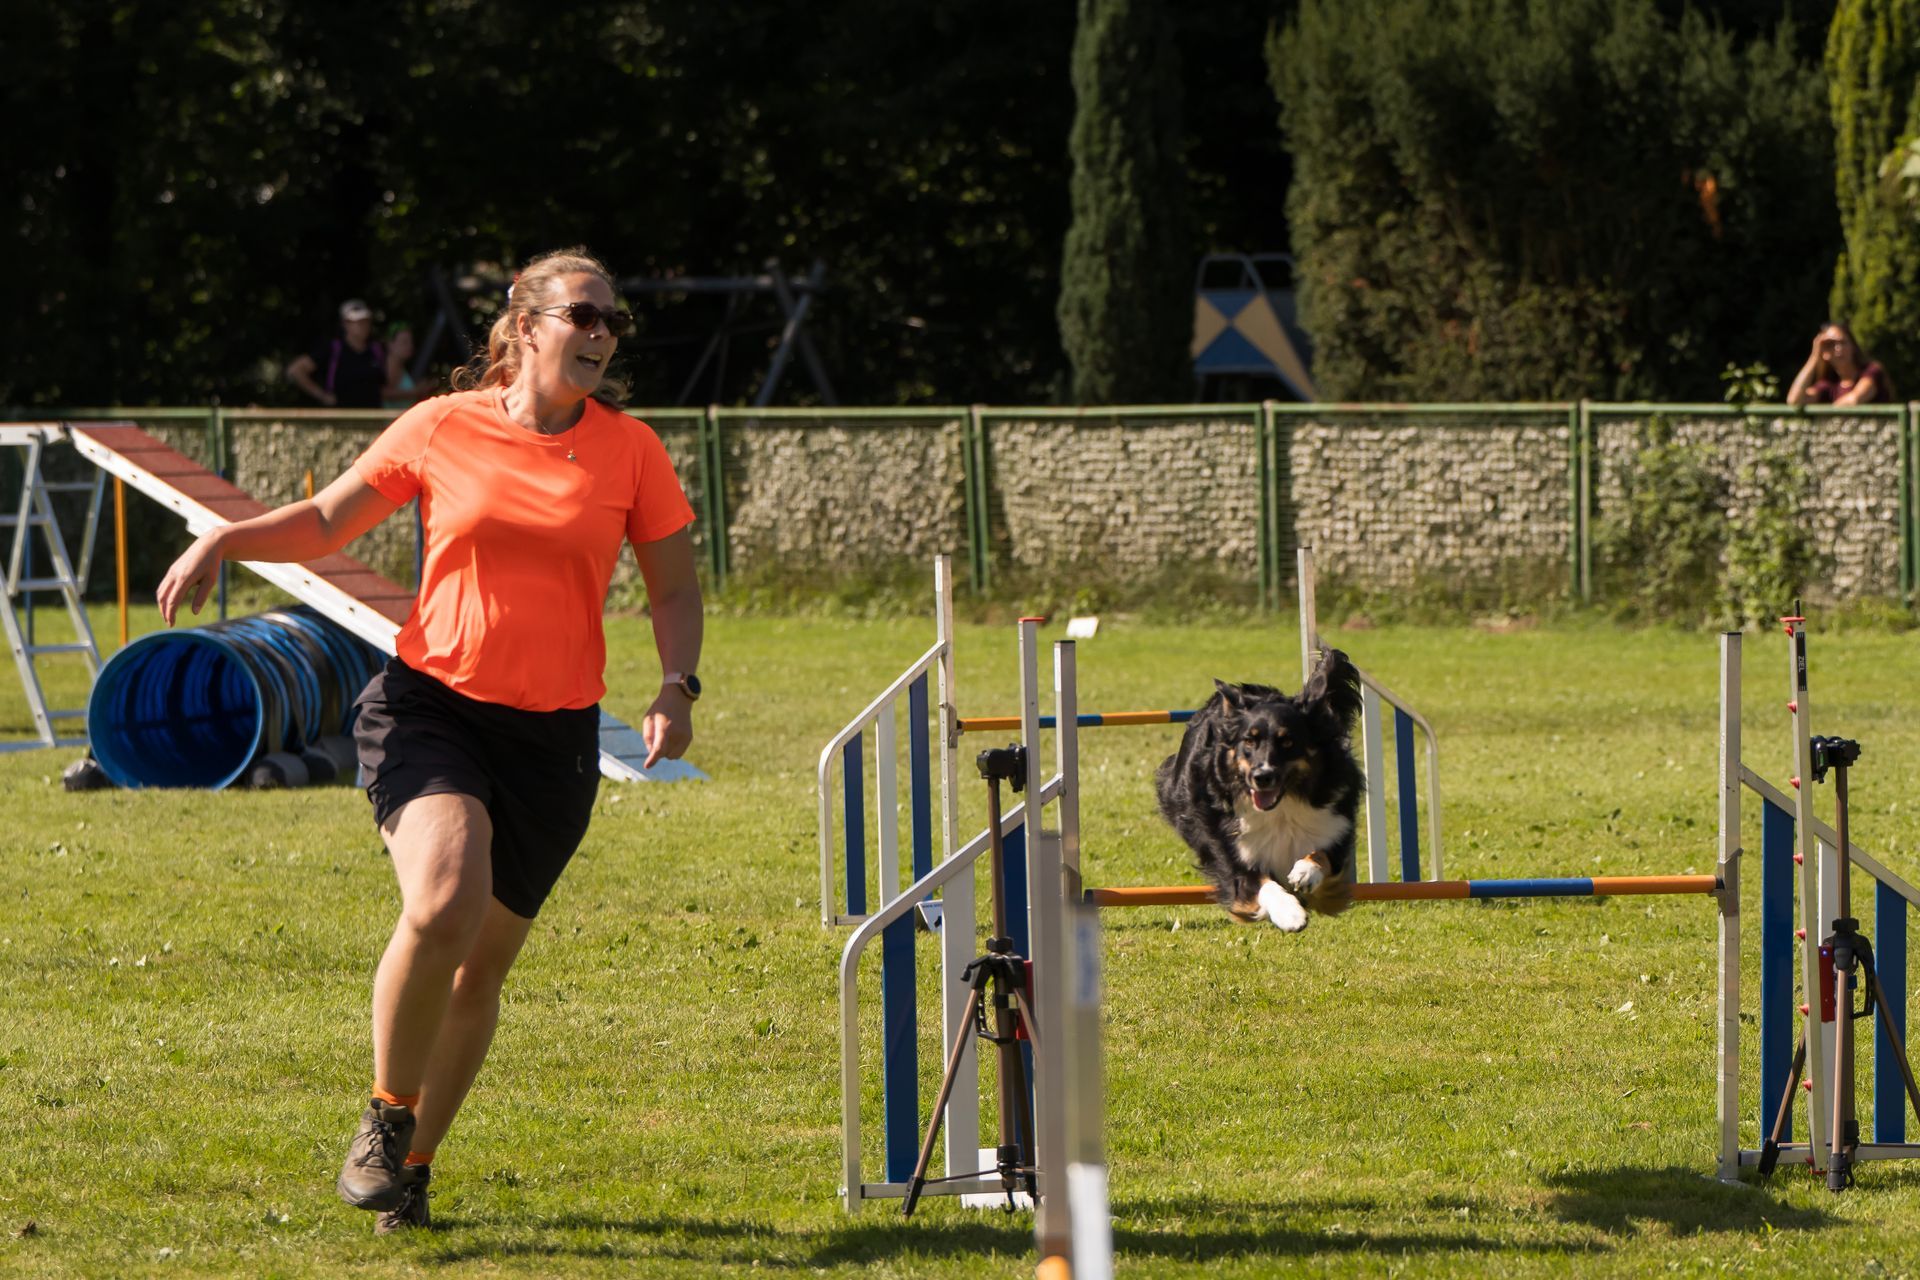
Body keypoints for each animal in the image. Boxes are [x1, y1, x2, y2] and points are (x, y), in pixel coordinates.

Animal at [1154, 650, 1365, 931]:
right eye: (1249, 741)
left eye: (1288, 741)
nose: (1261, 777)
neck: (1283, 807)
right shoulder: (1230, 851)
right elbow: (1260, 883)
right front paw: (1290, 913)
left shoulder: (1336, 826)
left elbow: (1322, 855)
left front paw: (1306, 872)